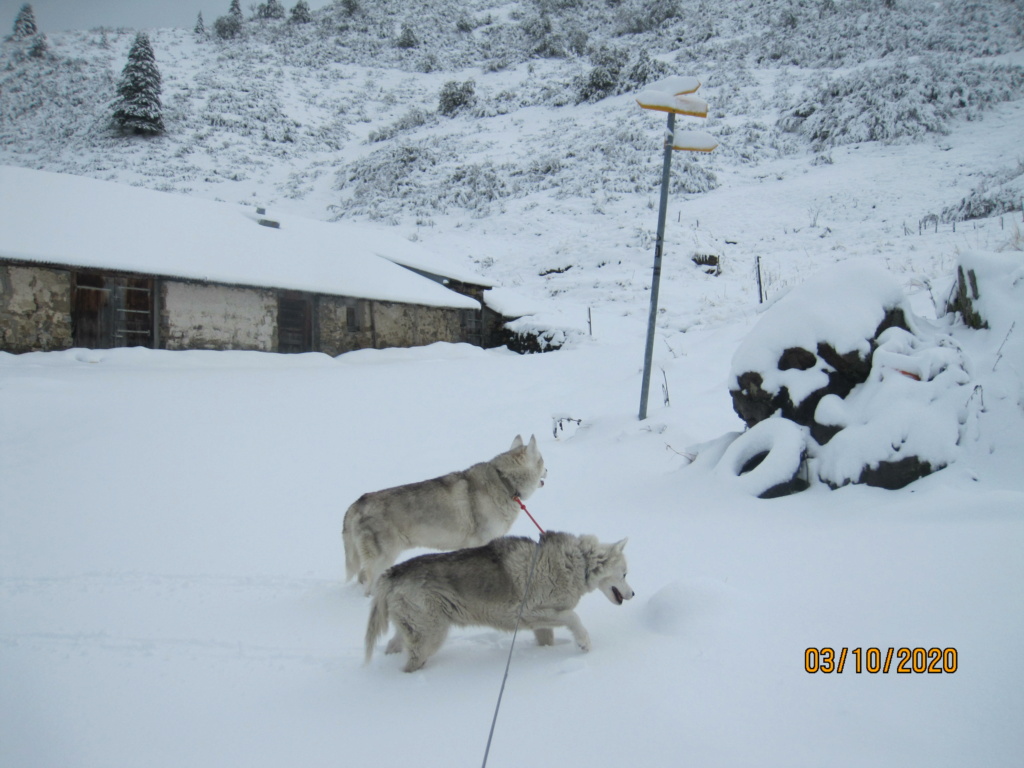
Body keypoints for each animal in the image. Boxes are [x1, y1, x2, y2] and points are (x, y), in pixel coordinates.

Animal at [342, 438, 548, 593]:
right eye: (543, 461)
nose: (548, 470)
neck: (505, 482)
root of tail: (356, 504)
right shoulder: (480, 542)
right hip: (383, 558)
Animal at [364, 532, 626, 671]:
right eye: (625, 574)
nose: (632, 594)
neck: (577, 563)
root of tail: (393, 572)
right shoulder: (529, 613)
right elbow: (574, 618)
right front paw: (584, 644)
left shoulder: (540, 624)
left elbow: (548, 640)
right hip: (431, 636)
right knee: (410, 665)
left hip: (413, 630)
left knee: (392, 646)